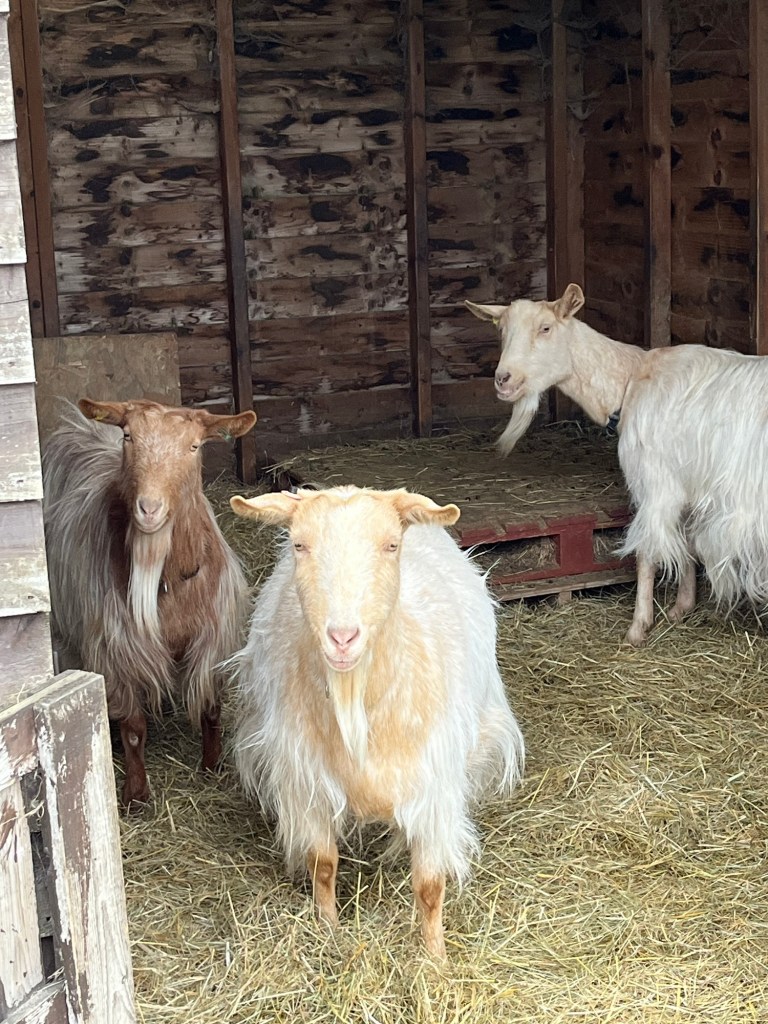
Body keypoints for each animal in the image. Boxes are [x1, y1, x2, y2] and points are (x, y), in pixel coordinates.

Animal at [43, 398, 257, 807]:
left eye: (194, 445)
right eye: (129, 436)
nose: (149, 508)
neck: (168, 580)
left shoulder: (213, 638)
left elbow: (210, 707)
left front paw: (212, 765)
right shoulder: (118, 649)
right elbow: (133, 727)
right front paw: (135, 795)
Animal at [229, 485, 524, 958]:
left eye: (390, 545)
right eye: (299, 544)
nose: (342, 637)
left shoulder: (435, 787)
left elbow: (430, 886)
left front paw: (435, 959)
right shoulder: (305, 779)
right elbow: (323, 864)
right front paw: (328, 930)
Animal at [467, 283, 768, 645]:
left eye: (546, 328)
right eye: (501, 330)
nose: (504, 379)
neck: (632, 380)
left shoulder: (655, 482)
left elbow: (647, 554)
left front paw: (638, 627)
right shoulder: (689, 483)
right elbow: (687, 543)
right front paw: (681, 608)